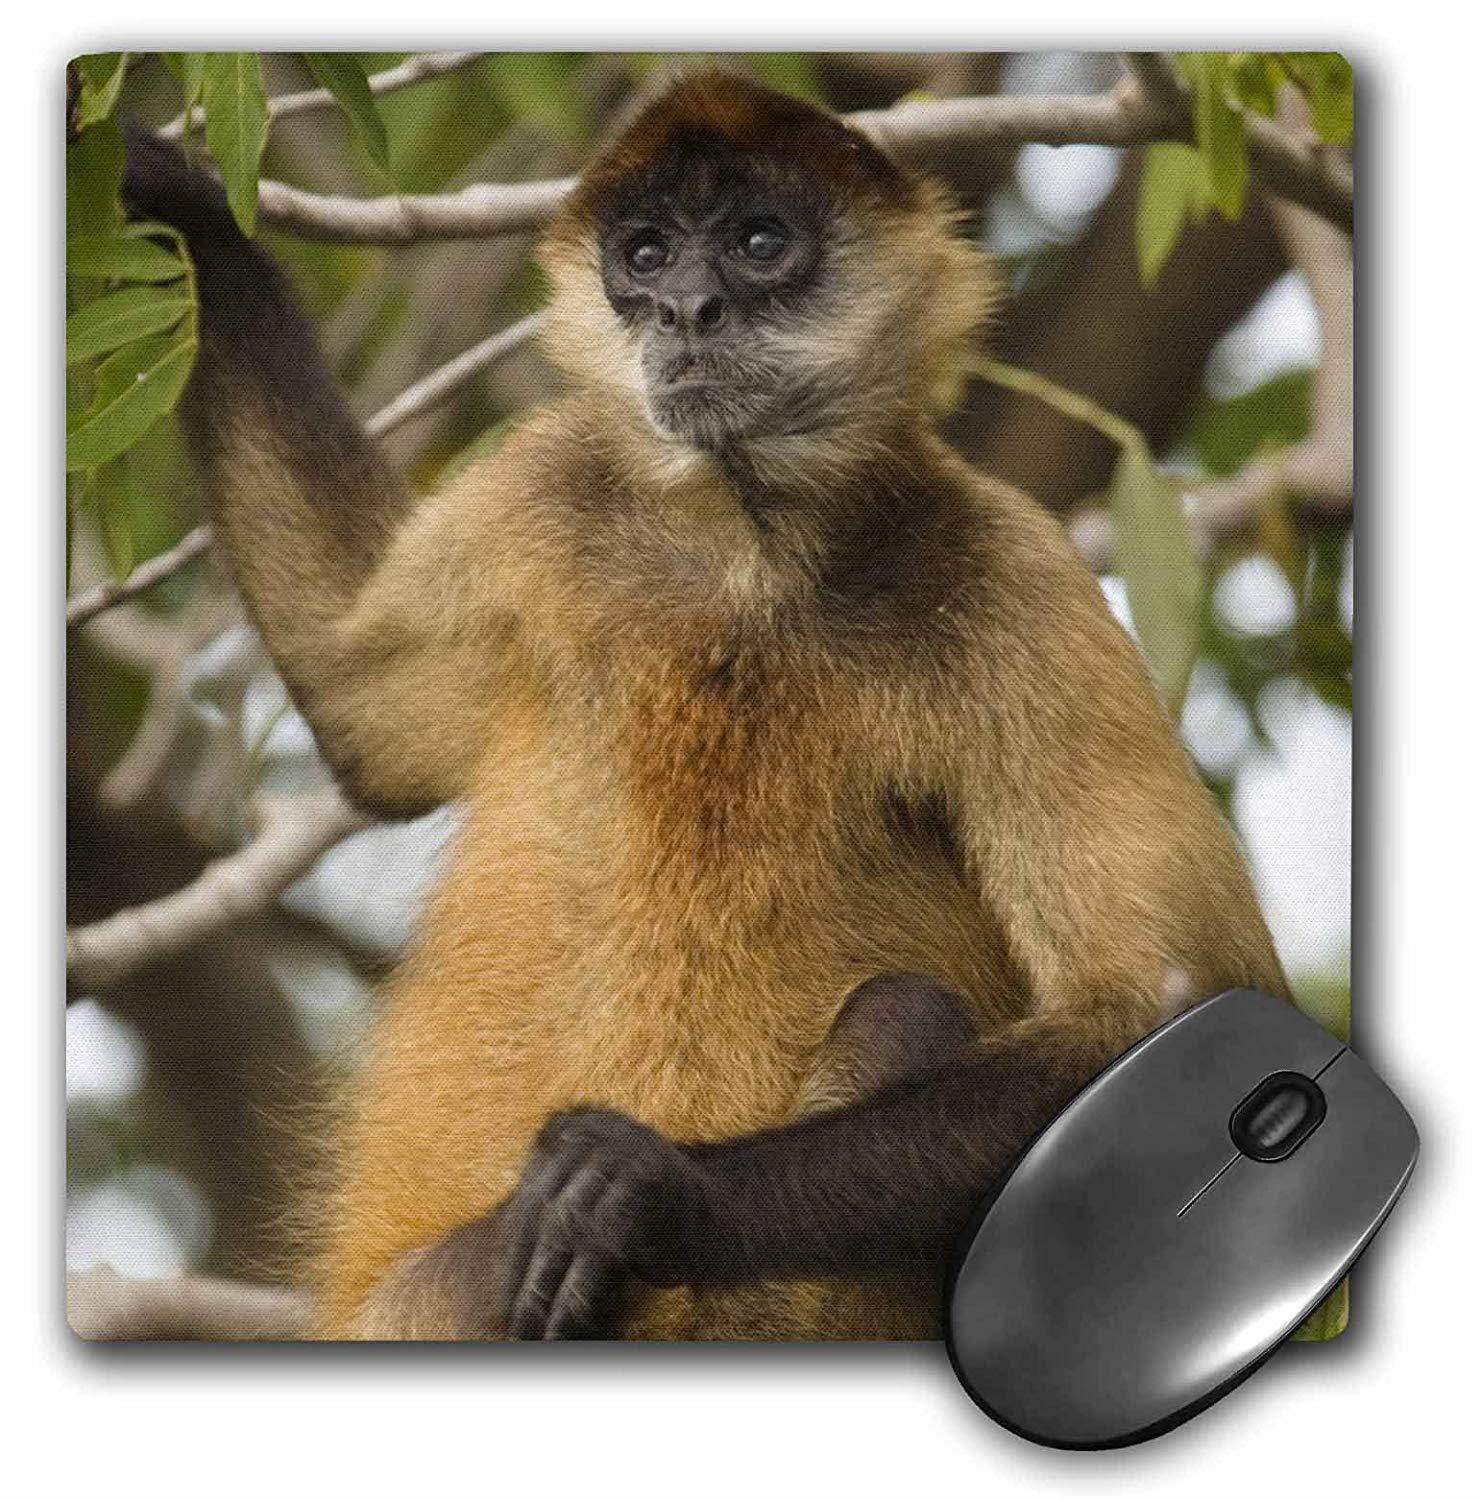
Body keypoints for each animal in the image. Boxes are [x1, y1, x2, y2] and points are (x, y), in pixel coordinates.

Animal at [120, 71, 1289, 1341]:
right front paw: (174, 204)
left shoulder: (1009, 575)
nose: (685, 308)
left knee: (904, 1012)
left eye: (758, 243)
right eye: (646, 254)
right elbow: (356, 710)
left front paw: (655, 1191)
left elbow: (1168, 1009)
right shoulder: (549, 486)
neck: (744, 559)